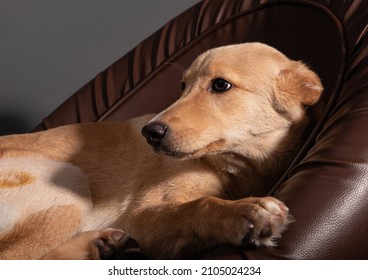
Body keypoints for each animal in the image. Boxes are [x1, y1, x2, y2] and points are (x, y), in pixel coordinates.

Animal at [0, 42, 322, 260]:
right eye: (182, 86)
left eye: (220, 85)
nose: (150, 133)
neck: (241, 167)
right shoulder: (142, 215)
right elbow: (198, 206)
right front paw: (246, 211)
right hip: (69, 182)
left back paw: (103, 245)